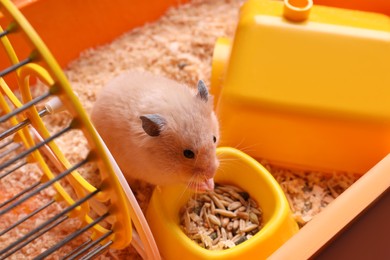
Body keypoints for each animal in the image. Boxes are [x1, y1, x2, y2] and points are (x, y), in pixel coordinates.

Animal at [90, 72, 219, 192]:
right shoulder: (159, 176)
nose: (212, 173)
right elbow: (185, 181)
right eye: (188, 154)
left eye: (214, 139)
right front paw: (206, 186)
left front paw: (211, 183)